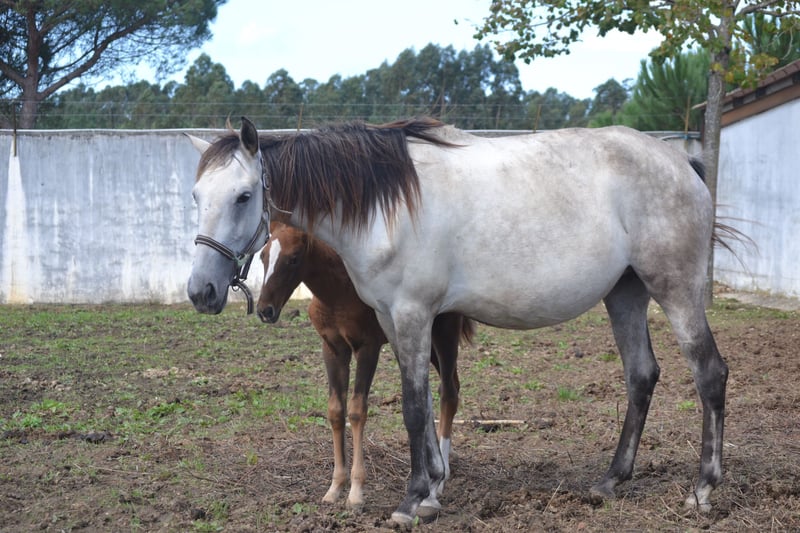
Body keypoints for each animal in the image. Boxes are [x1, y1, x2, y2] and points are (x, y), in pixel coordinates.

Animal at [255, 221, 474, 510]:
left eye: (293, 258)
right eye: (262, 256)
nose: (264, 310)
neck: (337, 293)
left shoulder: (367, 348)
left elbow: (358, 410)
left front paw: (356, 491)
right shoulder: (333, 349)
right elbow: (336, 411)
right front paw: (335, 487)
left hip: (443, 334)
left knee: (449, 392)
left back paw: (440, 478)